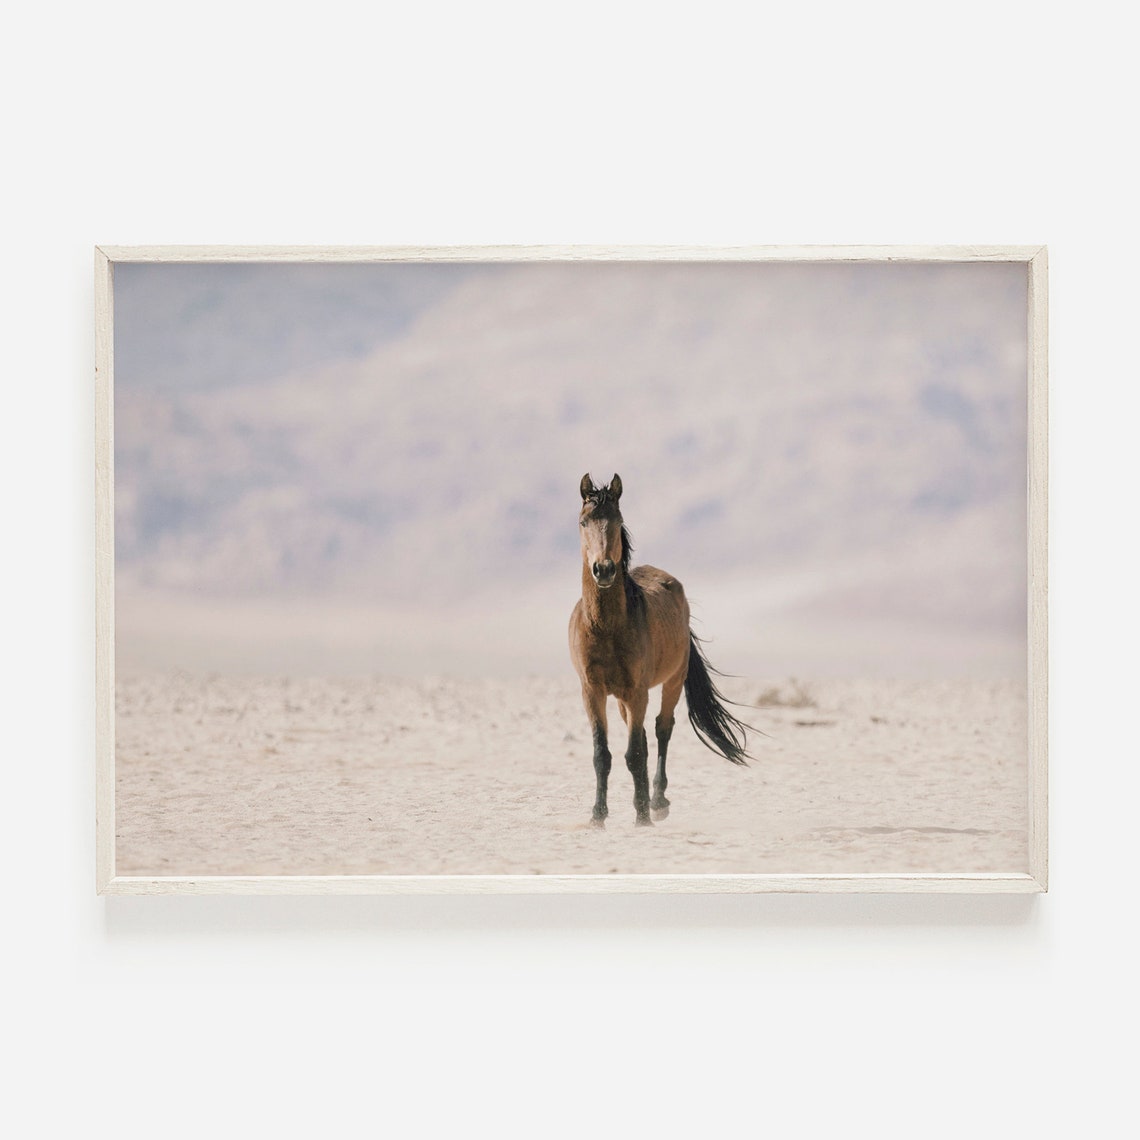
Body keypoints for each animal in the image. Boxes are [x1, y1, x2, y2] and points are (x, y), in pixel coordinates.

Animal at [568, 473, 751, 827]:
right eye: (583, 522)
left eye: (618, 521)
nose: (604, 570)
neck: (606, 627)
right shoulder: (591, 692)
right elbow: (603, 755)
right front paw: (598, 816)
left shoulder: (637, 690)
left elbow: (635, 754)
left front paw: (642, 816)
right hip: (624, 699)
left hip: (671, 682)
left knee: (661, 730)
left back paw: (657, 801)